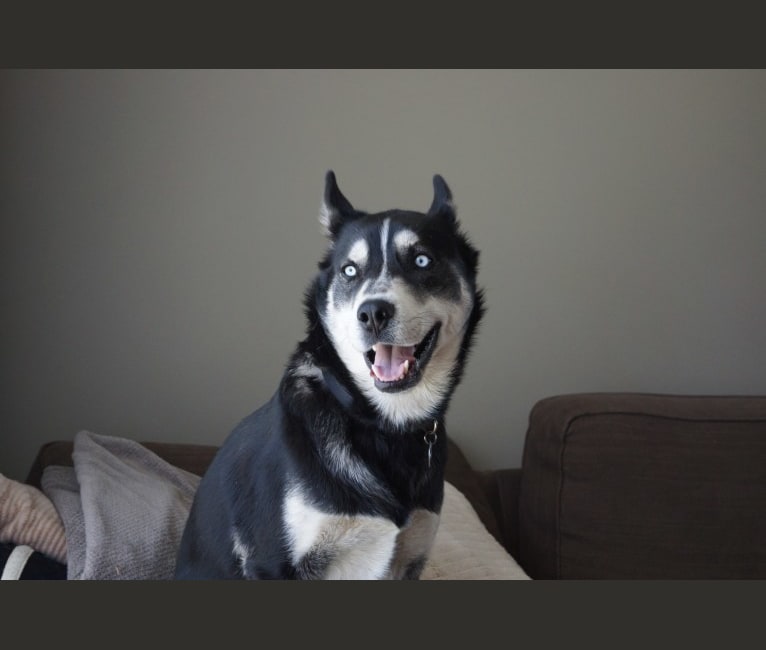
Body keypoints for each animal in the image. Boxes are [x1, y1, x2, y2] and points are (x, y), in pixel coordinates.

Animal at [177, 171, 484, 576]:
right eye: (349, 270)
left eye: (422, 260)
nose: (372, 314)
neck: (382, 424)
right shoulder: (271, 560)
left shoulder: (413, 555)